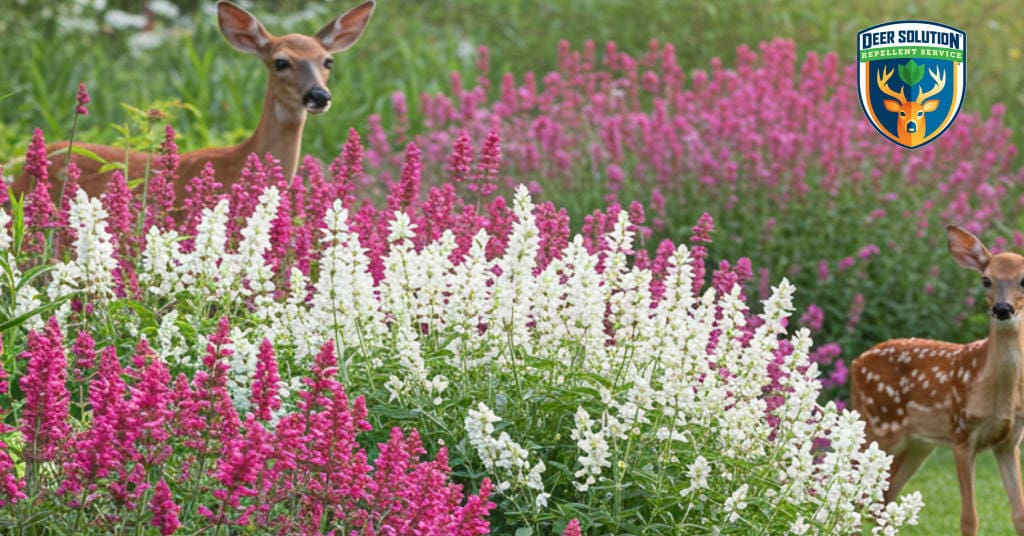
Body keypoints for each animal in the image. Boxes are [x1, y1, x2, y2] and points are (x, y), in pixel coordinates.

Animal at [851, 225, 1024, 535]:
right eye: (986, 280)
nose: (1003, 309)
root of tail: (855, 363)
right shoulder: (961, 432)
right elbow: (969, 518)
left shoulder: (1009, 440)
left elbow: (1019, 513)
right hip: (877, 426)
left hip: (918, 443)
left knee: (883, 498)